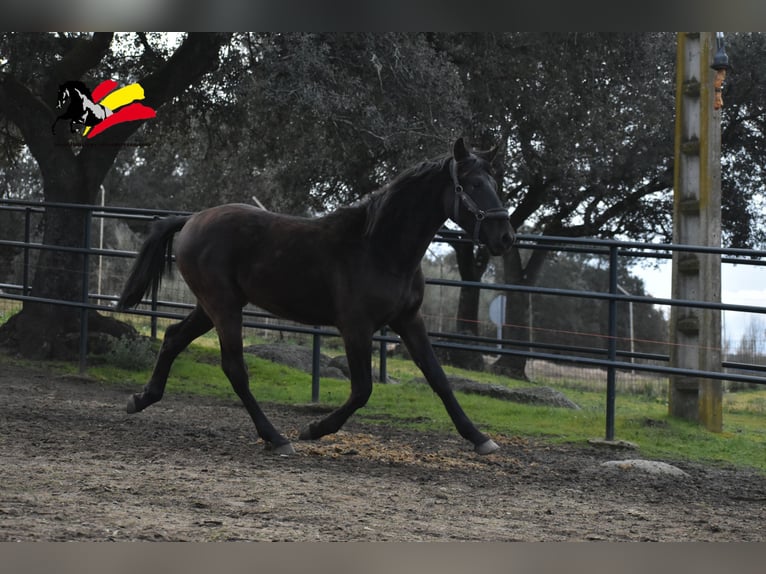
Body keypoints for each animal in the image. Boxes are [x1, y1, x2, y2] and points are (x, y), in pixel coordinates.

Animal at [118, 138, 516, 454]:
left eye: (495, 183)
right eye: (473, 184)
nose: (506, 238)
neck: (380, 248)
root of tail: (191, 220)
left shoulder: (408, 320)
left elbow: (439, 379)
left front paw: (480, 438)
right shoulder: (356, 327)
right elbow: (362, 390)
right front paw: (314, 429)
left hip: (212, 306)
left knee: (173, 338)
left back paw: (141, 399)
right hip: (223, 306)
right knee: (234, 369)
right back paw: (277, 438)